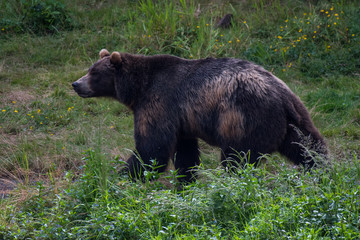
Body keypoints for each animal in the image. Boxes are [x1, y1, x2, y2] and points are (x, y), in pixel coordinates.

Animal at [71, 49, 328, 182]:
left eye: (94, 73)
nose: (76, 84)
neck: (138, 88)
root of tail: (281, 96)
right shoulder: (182, 120)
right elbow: (185, 153)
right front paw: (185, 181)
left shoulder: (160, 101)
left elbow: (152, 147)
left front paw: (124, 175)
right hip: (294, 118)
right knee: (308, 146)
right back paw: (323, 172)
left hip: (244, 117)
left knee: (238, 158)